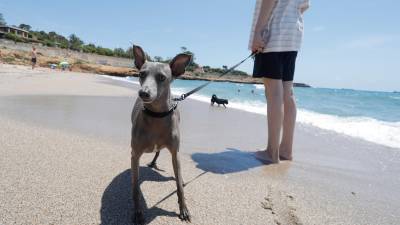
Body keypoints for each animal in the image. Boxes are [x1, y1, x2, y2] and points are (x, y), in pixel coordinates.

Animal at [130, 44, 191, 224]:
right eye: (141, 74)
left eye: (162, 77)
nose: (143, 93)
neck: (156, 116)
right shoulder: (135, 154)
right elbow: (135, 187)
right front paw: (137, 212)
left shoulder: (175, 154)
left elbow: (179, 187)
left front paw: (183, 209)